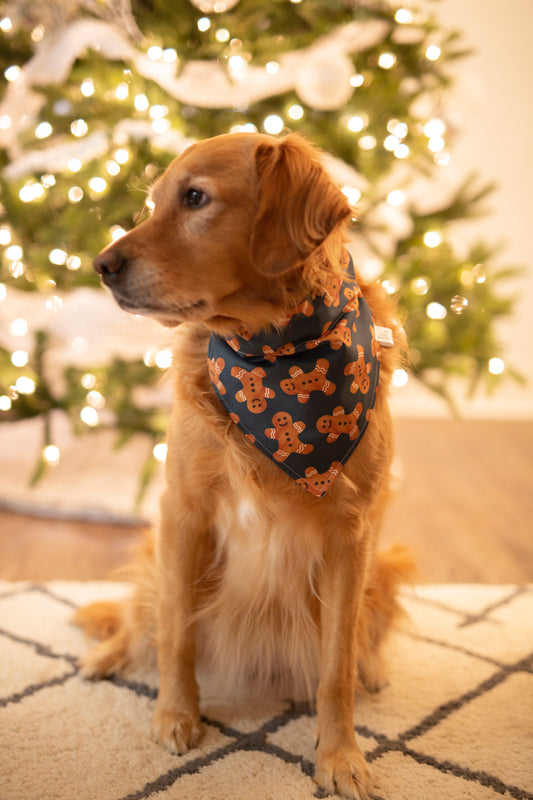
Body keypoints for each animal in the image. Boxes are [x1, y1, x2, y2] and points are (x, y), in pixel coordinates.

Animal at [76, 128, 412, 796]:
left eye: (196, 198)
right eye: (153, 203)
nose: (100, 266)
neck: (276, 354)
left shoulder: (352, 535)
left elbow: (335, 666)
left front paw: (341, 757)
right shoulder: (182, 513)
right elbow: (176, 634)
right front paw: (176, 717)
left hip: (384, 562)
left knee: (368, 633)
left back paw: (376, 668)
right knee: (139, 618)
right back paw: (107, 655)